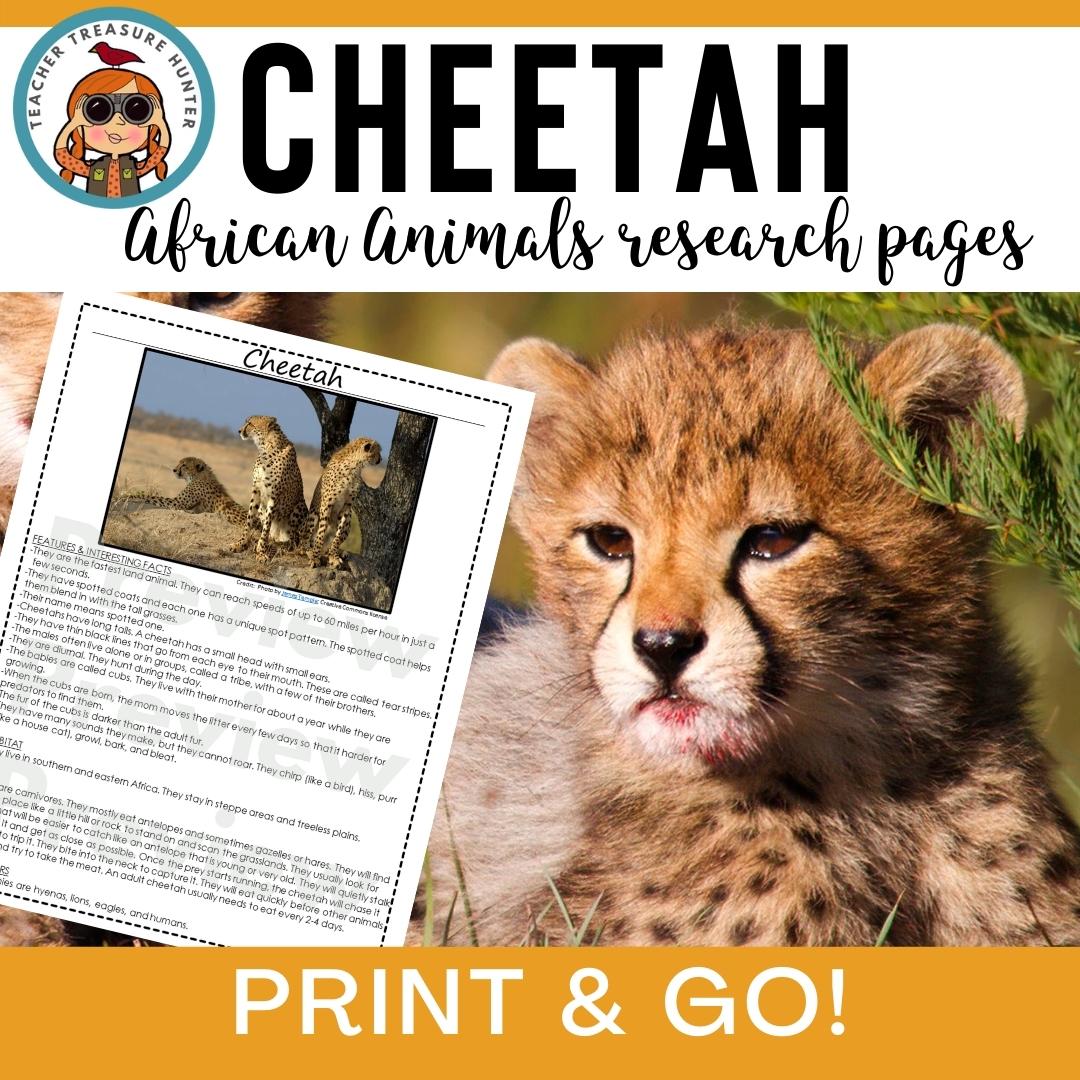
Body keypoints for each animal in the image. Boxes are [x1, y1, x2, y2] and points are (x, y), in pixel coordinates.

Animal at [118, 457, 247, 525]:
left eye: (184, 465)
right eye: (179, 463)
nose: (174, 470)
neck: (197, 476)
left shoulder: (177, 503)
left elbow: (151, 496)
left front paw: (127, 495)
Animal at [230, 415, 308, 562]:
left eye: (250, 423)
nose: (239, 431)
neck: (266, 447)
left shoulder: (273, 496)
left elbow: (266, 527)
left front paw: (261, 552)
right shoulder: (256, 490)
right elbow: (249, 520)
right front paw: (240, 543)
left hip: (299, 507)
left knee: (294, 540)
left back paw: (283, 546)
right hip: (262, 507)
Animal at [303, 436, 382, 569]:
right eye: (377, 451)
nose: (380, 459)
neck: (354, 466)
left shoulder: (347, 506)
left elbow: (337, 537)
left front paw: (334, 557)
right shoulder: (326, 504)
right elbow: (320, 533)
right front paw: (315, 557)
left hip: (349, 521)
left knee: (331, 544)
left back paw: (338, 552)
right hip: (313, 515)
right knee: (305, 541)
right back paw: (310, 551)